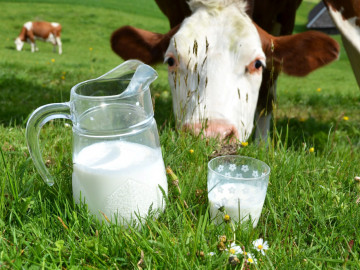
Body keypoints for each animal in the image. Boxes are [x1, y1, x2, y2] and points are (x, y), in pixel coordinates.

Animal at [111, 0, 338, 142]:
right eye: (170, 61)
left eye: (257, 64)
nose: (211, 134)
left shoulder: (286, 15)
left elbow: (267, 99)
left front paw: (263, 146)